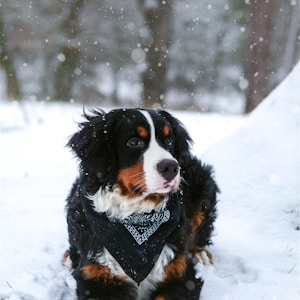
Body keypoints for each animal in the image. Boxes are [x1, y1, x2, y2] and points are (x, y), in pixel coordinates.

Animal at [63, 108, 218, 300]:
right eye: (134, 142)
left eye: (169, 141)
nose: (172, 167)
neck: (137, 213)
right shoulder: (96, 277)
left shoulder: (181, 274)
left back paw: (200, 253)